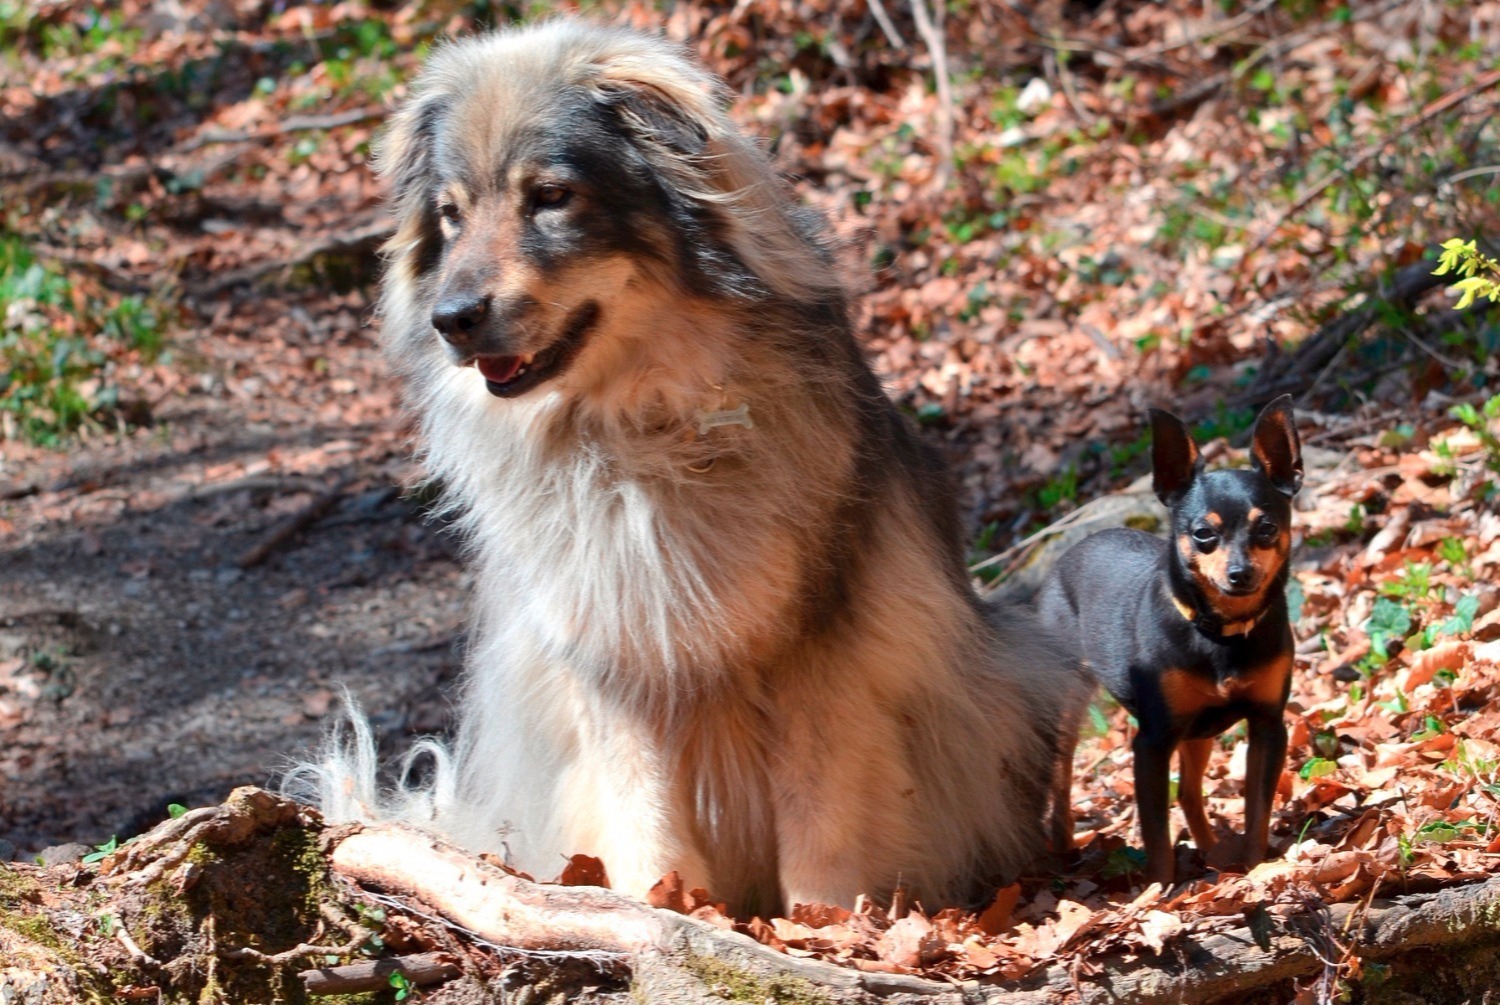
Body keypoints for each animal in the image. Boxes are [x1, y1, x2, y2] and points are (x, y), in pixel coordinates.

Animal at [316, 21, 1086, 924]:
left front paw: (823, 929)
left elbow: (822, 813)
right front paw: (661, 908)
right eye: (451, 214)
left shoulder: (816, 650)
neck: (644, 425)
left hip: (1009, 676)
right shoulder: (614, 657)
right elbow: (643, 811)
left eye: (551, 196)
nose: (452, 319)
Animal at [1044, 399, 1302, 888]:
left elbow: (1257, 809)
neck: (1220, 632)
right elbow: (1156, 833)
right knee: (1062, 779)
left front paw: (1254, 867)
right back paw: (1061, 847)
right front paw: (1159, 892)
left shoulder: (1267, 725)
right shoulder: (1152, 742)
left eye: (1266, 528)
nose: (1240, 574)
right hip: (1069, 706)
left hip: (1198, 730)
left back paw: (1214, 854)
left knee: (1188, 792)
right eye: (1203, 534)